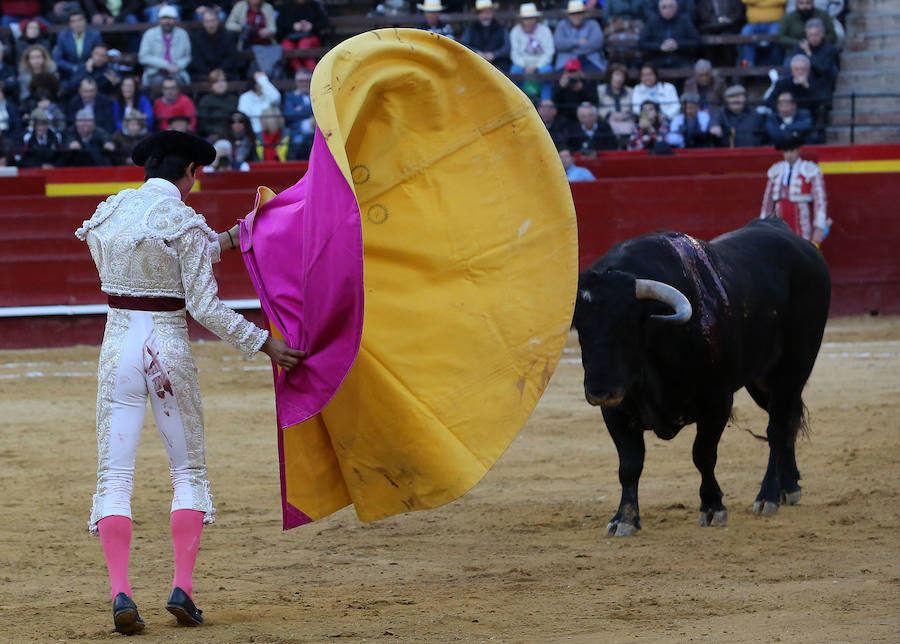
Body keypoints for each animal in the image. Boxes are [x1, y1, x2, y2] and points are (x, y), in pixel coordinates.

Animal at [572, 219, 832, 536]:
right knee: (788, 421)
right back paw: (789, 486)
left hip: (793, 370)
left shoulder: (717, 402)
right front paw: (625, 518)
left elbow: (703, 455)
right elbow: (630, 464)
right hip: (761, 381)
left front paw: (712, 507)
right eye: (580, 326)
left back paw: (768, 495)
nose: (600, 390)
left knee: (778, 428)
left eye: (628, 323)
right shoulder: (616, 411)